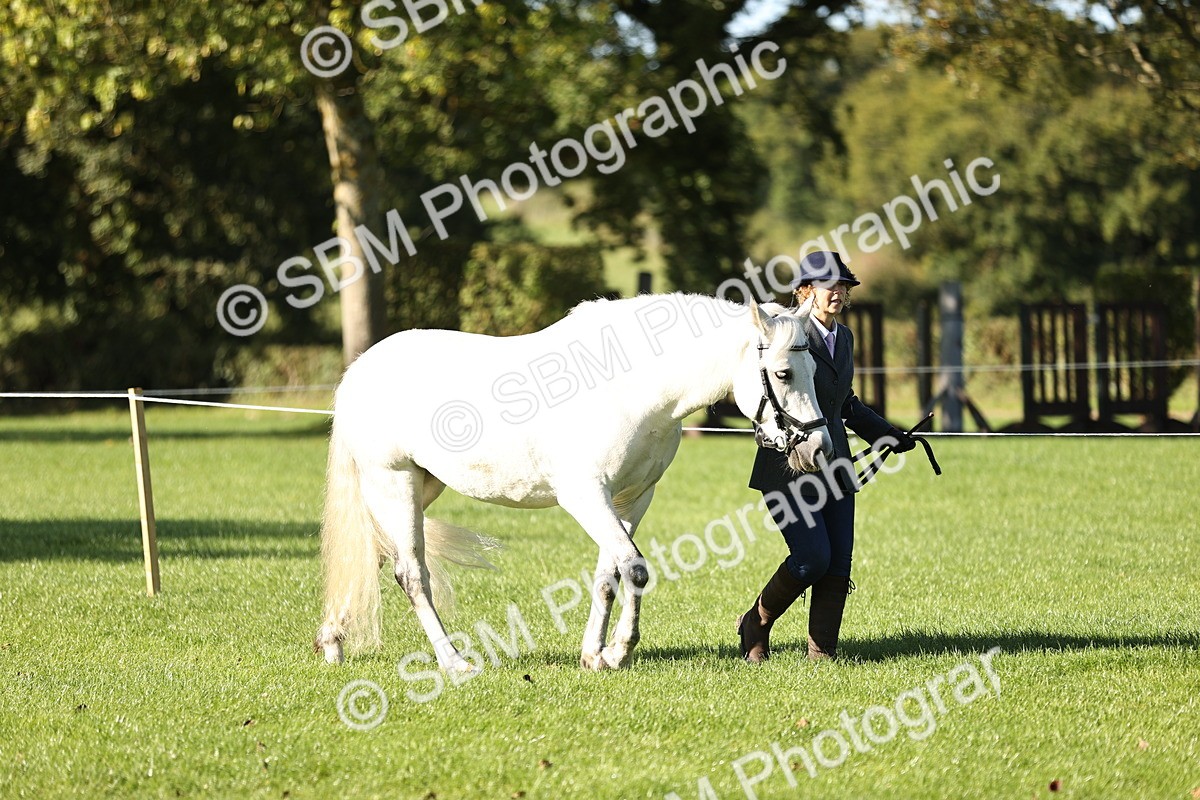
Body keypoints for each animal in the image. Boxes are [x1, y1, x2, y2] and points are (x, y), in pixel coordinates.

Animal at [314, 292, 833, 671]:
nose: (818, 448)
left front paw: (594, 655)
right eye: (783, 372)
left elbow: (609, 575)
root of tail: (361, 370)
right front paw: (619, 652)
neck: (629, 387)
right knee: (410, 573)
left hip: (421, 486)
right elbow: (635, 568)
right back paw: (454, 662)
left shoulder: (631, 499)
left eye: (814, 370)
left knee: (372, 553)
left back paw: (332, 641)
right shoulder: (586, 496)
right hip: (393, 482)